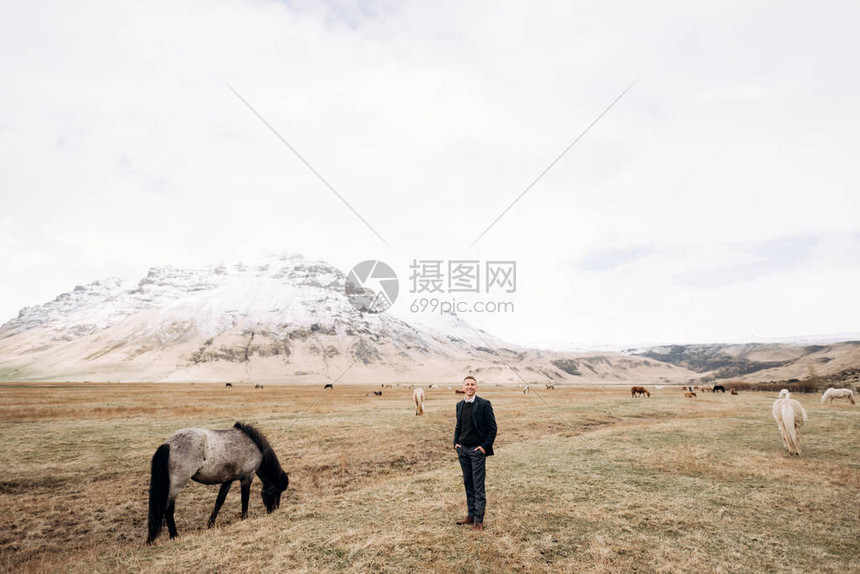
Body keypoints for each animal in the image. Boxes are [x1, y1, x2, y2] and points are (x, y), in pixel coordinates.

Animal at [147, 424, 288, 544]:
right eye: (276, 492)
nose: (274, 510)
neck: (253, 444)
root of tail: (169, 444)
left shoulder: (227, 480)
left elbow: (219, 502)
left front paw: (210, 524)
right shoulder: (247, 477)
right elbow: (245, 499)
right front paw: (244, 518)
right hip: (176, 486)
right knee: (168, 509)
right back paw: (174, 535)